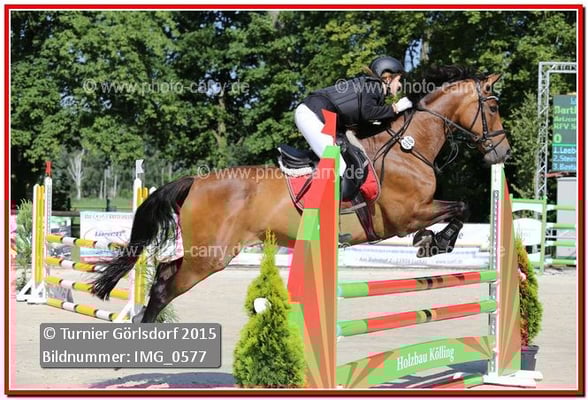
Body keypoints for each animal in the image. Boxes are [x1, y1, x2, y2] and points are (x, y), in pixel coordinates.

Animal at [92, 68, 511, 323]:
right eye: (492, 106)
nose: (502, 153)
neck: (409, 147)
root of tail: (196, 180)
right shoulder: (406, 214)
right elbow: (460, 207)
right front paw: (435, 243)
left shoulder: (413, 213)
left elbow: (459, 208)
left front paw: (430, 241)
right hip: (209, 256)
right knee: (164, 287)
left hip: (203, 252)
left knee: (163, 275)